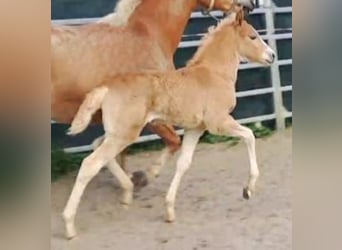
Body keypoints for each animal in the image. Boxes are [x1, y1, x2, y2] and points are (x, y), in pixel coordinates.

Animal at [63, 12, 276, 238]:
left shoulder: (195, 129)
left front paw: (169, 210)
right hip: (124, 134)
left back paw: (128, 189)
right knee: (90, 163)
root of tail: (106, 87)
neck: (214, 73)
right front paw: (248, 189)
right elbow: (249, 135)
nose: (272, 56)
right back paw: (69, 225)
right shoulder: (218, 122)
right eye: (253, 36)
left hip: (119, 132)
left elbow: (183, 163)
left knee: (97, 146)